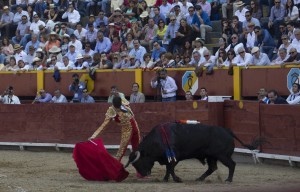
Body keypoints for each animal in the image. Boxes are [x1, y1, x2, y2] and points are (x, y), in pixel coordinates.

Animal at [125, 122, 262, 182]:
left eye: (139, 162)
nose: (144, 174)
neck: (157, 140)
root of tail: (228, 131)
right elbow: (169, 169)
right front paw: (166, 179)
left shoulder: (174, 157)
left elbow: (170, 168)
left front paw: (176, 179)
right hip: (211, 156)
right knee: (212, 167)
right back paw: (200, 178)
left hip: (222, 156)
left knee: (232, 164)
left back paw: (228, 179)